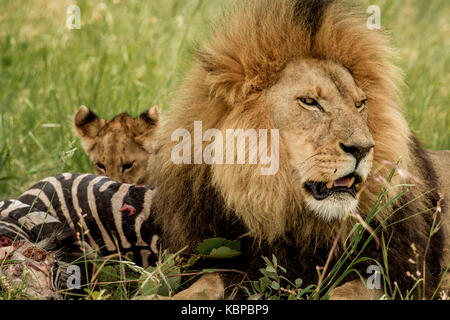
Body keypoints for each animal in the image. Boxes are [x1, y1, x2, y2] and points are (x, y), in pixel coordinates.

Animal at [149, 0, 450, 300]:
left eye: (360, 104)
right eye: (309, 101)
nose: (363, 148)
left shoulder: (399, 275)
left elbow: (348, 291)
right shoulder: (219, 258)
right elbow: (206, 283)